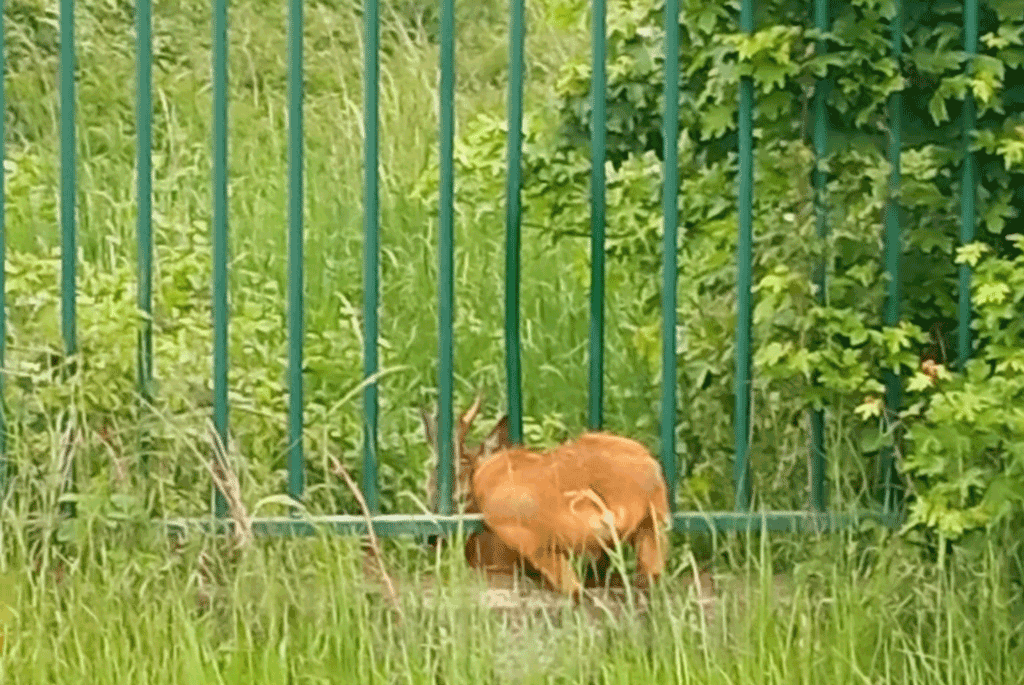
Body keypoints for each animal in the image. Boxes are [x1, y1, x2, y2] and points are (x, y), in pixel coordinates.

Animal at [421, 395, 671, 597]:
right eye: (427, 486)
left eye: (461, 495)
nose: (431, 540)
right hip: (655, 526)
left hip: (532, 534)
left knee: (573, 589)